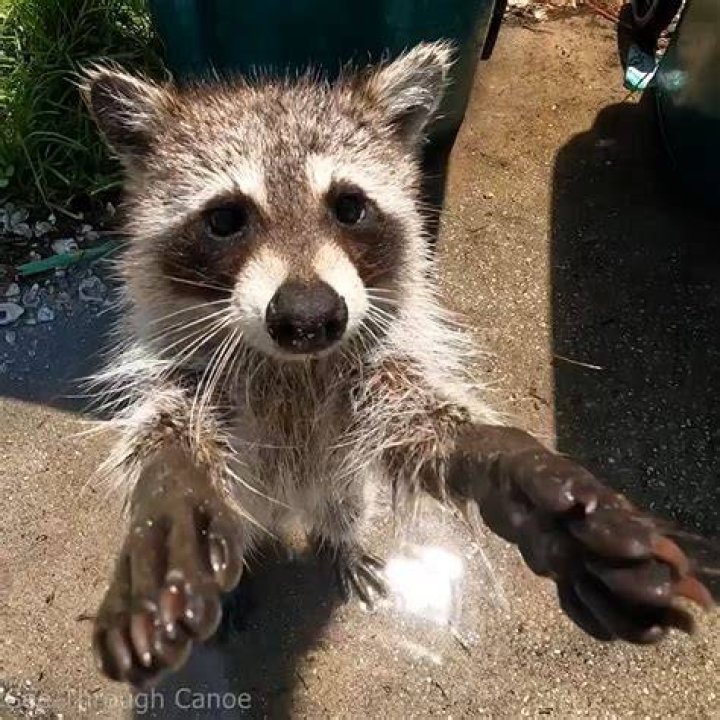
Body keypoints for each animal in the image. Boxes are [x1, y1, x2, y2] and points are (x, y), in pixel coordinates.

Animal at [83, 43, 713, 687]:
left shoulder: (379, 369)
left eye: (349, 207)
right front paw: (171, 498)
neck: (294, 366)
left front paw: (508, 462)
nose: (308, 317)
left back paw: (342, 538)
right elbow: (169, 435)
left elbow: (421, 429)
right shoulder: (189, 371)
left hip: (341, 482)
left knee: (344, 501)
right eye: (226, 219)